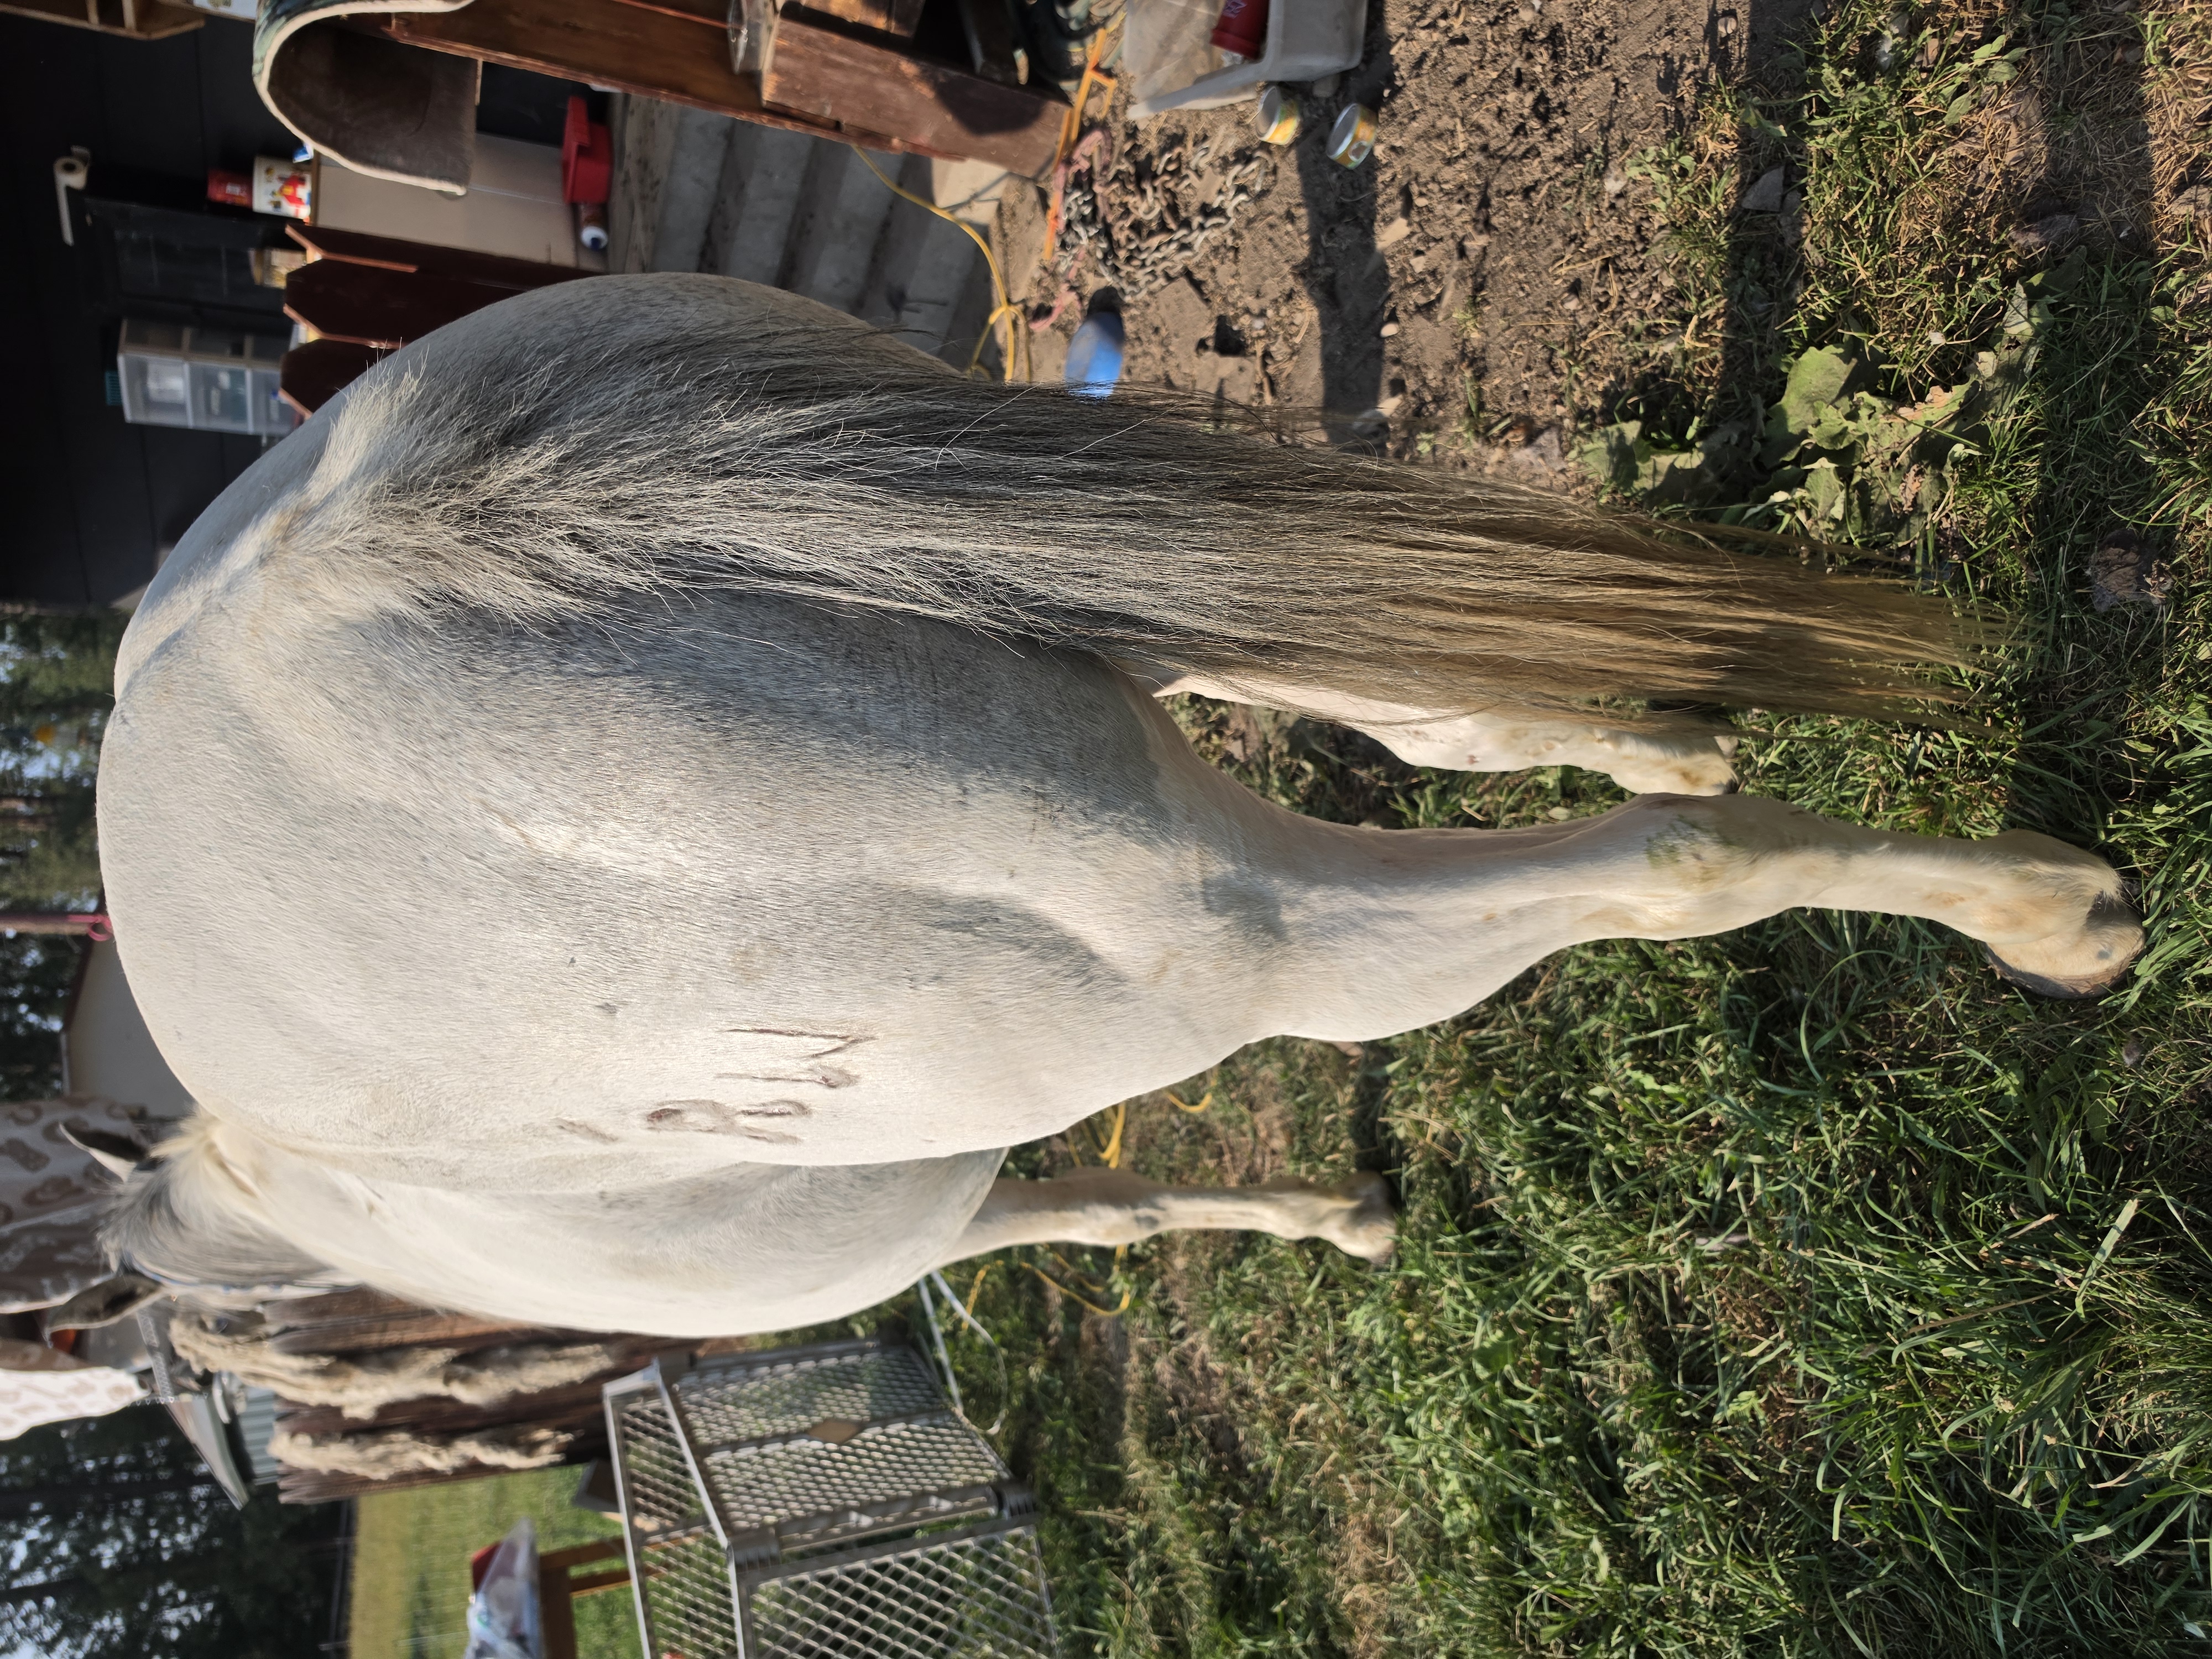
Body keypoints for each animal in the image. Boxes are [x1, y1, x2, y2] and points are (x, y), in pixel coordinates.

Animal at [94, 274, 2141, 1337]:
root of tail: (355, 559)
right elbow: (1137, 1207)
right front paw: (1341, 1225)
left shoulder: (934, 1222)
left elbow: (1111, 1215)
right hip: (1089, 601)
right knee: (1420, 697)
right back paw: (1692, 746)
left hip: (1224, 939)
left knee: (1658, 874)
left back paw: (2059, 915)